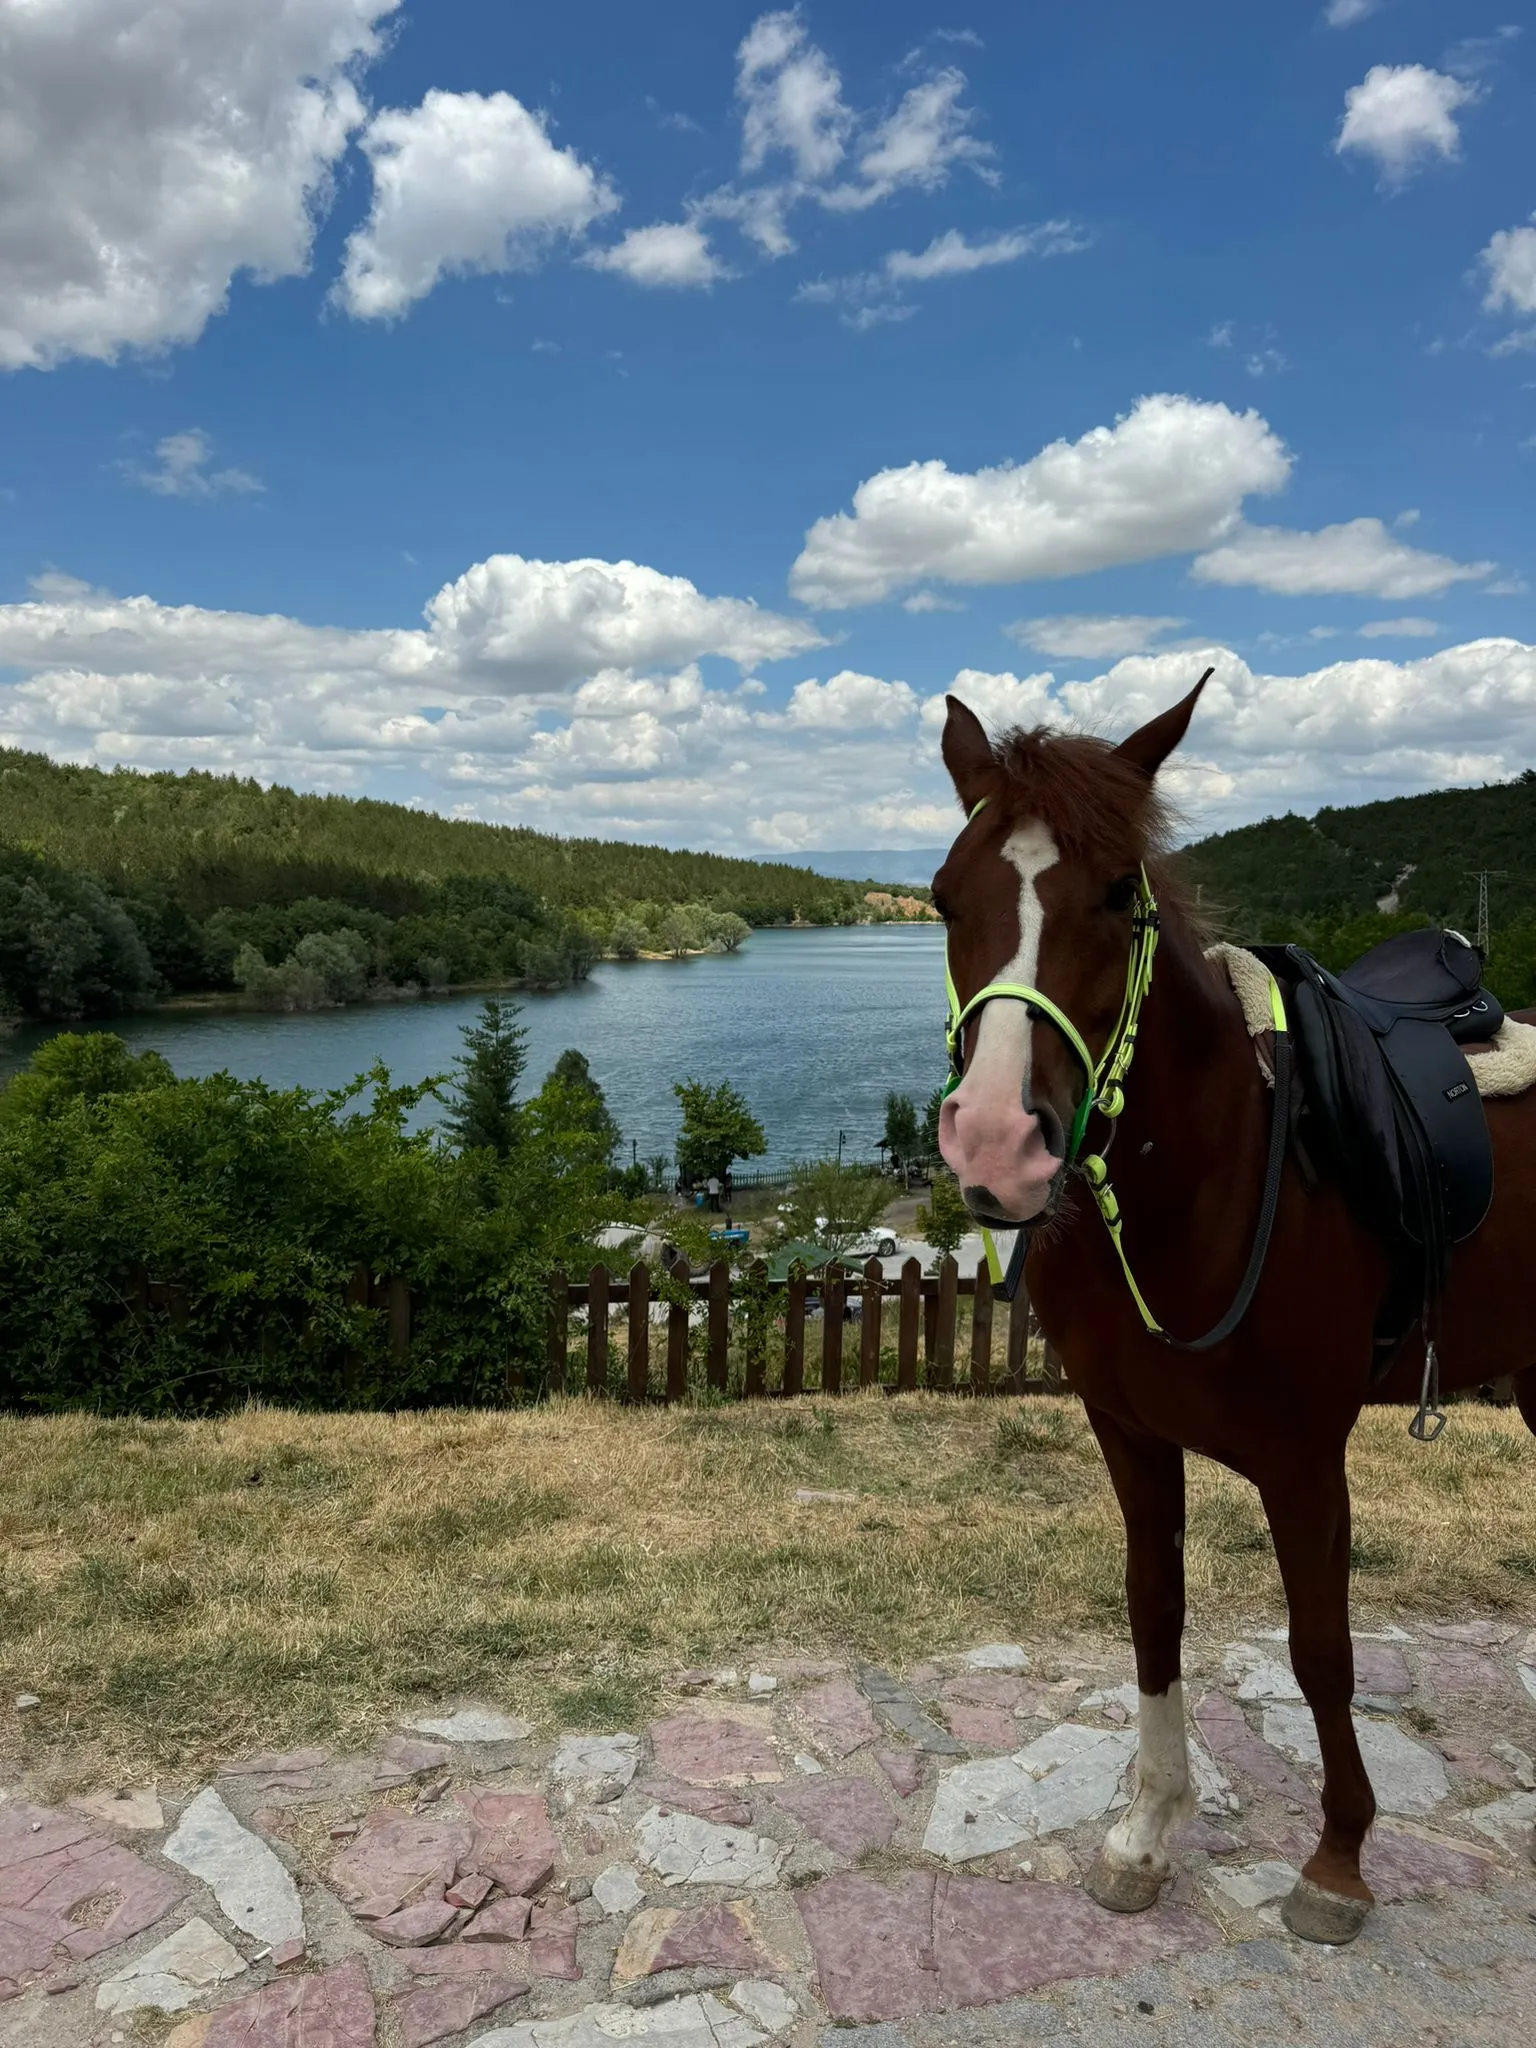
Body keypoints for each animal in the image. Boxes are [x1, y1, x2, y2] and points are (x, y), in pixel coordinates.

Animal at [937, 679, 1536, 1941]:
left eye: (1119, 894)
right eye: (942, 896)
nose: (998, 1145)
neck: (1204, 1178)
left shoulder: (1306, 1459)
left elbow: (1322, 1647)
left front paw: (1339, 1859)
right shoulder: (1130, 1433)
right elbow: (1154, 1610)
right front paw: (1145, 1832)